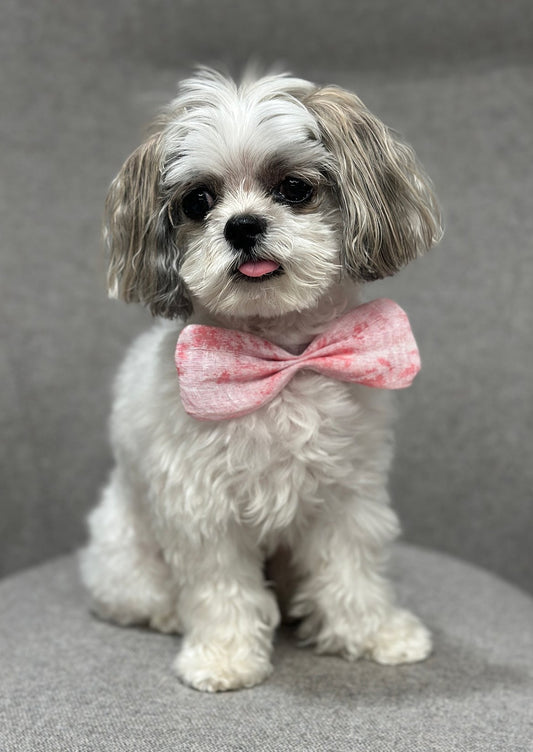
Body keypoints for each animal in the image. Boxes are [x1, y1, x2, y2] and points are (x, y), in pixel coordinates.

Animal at [81, 67, 440, 692]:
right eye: (198, 201)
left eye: (293, 188)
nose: (242, 225)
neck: (280, 357)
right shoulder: (202, 509)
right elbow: (221, 588)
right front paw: (223, 656)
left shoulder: (347, 495)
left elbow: (352, 570)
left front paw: (373, 633)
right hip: (127, 559)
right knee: (144, 596)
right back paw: (170, 614)